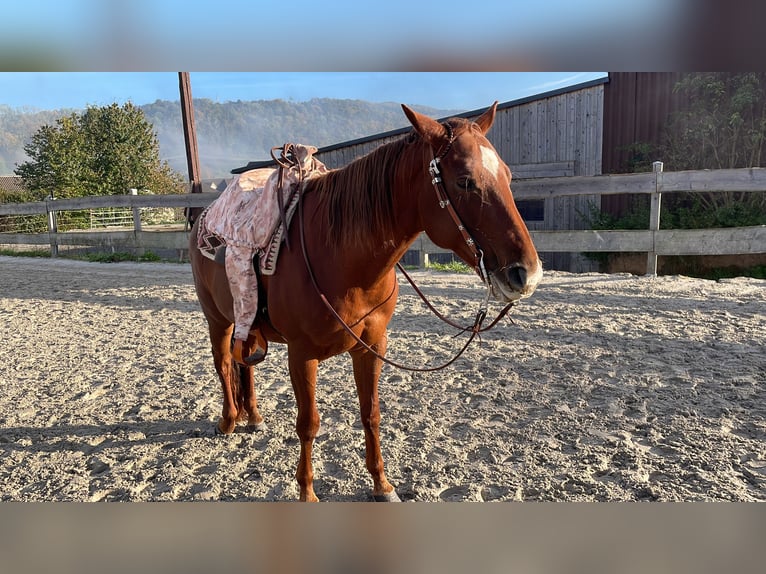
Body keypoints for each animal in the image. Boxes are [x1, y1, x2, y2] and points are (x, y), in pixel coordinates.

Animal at [188, 102, 542, 501]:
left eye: (508, 176)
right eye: (465, 180)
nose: (527, 274)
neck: (340, 255)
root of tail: (203, 215)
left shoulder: (372, 345)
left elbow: (370, 413)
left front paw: (382, 485)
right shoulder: (301, 354)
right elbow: (308, 423)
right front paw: (307, 491)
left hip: (244, 321)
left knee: (243, 363)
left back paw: (254, 417)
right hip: (216, 319)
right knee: (222, 364)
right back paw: (228, 420)